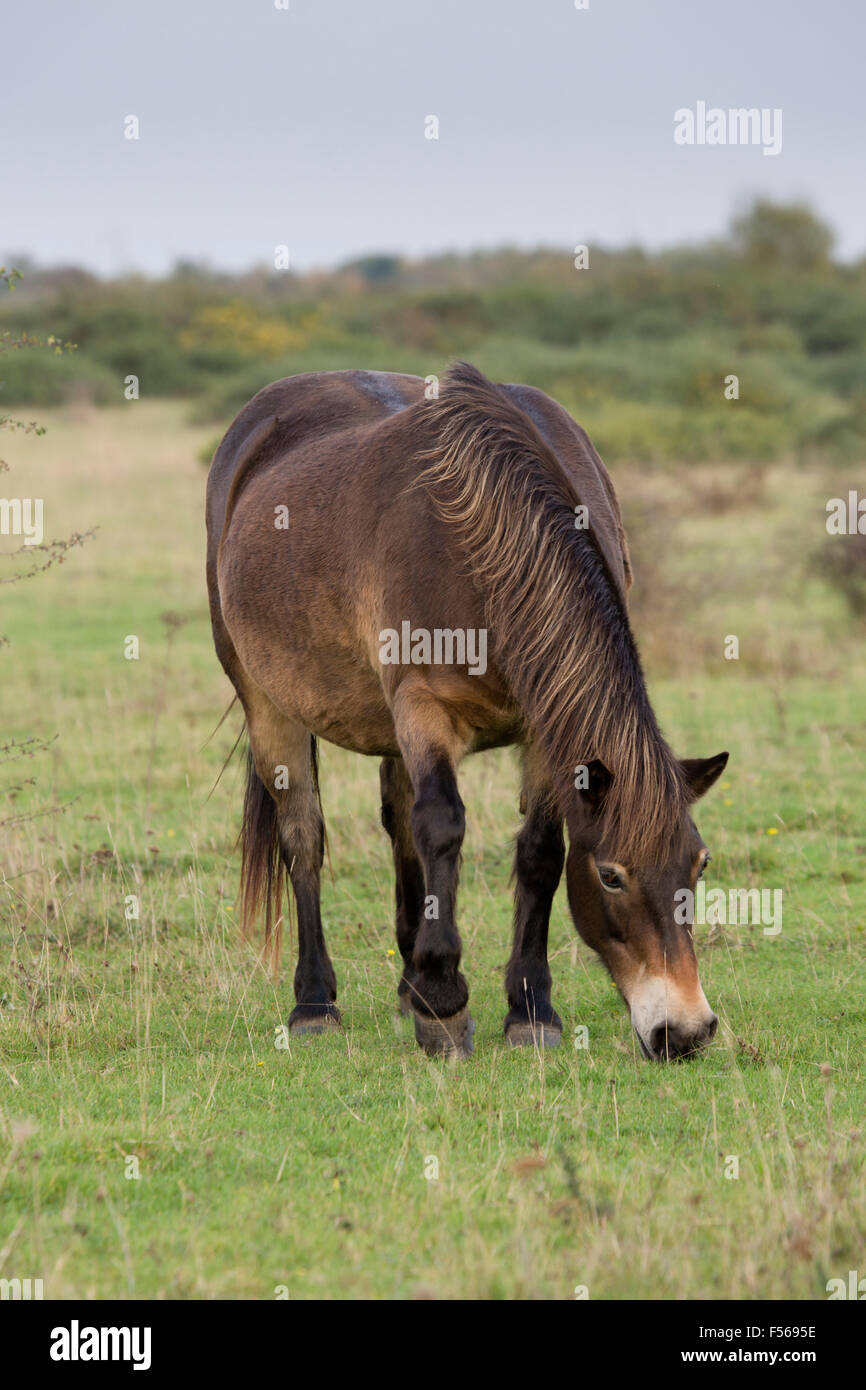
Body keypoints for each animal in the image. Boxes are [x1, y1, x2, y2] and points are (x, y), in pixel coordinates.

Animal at [206, 362, 728, 1061]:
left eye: (699, 864)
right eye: (612, 877)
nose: (686, 1031)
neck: (482, 532)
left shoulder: (542, 726)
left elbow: (538, 852)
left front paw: (530, 1010)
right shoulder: (425, 708)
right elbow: (443, 827)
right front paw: (445, 1005)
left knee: (397, 825)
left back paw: (407, 987)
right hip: (267, 703)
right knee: (304, 838)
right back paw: (317, 1003)